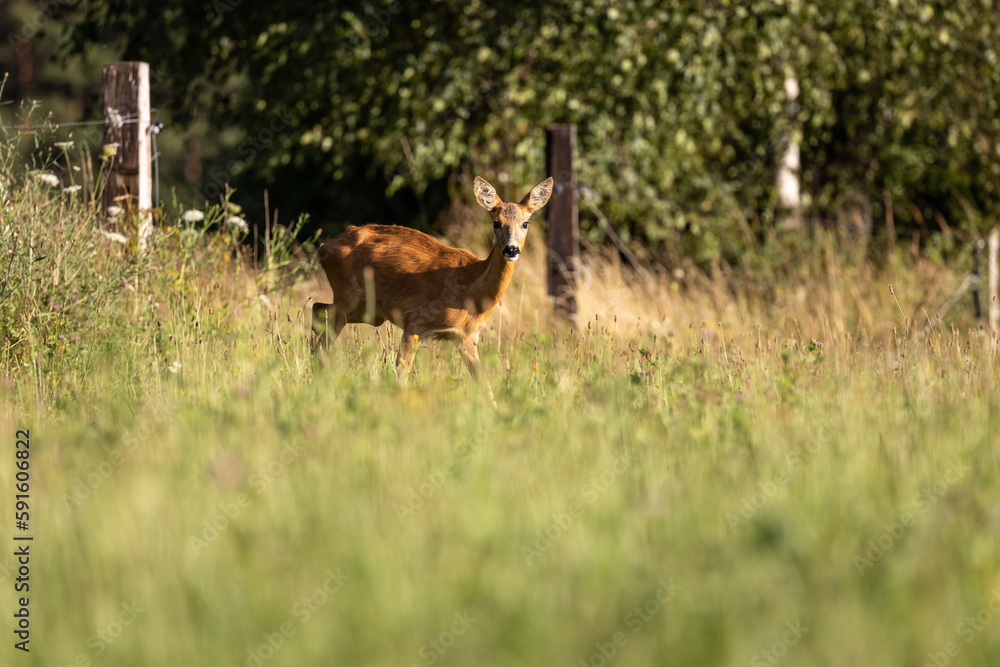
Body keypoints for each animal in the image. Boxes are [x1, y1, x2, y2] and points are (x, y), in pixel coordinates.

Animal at [310, 177, 556, 386]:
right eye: (496, 223)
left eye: (525, 223)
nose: (511, 249)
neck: (471, 291)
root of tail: (324, 248)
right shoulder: (415, 321)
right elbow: (401, 374)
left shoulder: (467, 336)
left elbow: (484, 384)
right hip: (348, 296)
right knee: (324, 322)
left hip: (370, 312)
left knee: (318, 308)